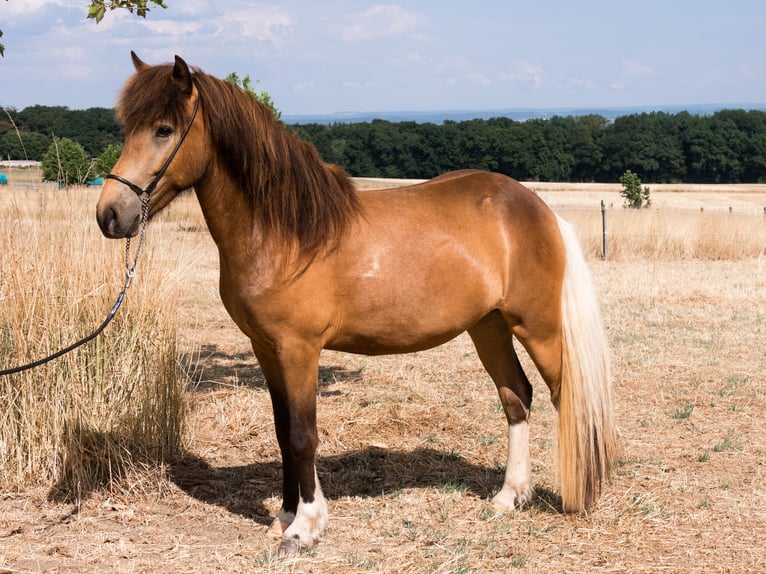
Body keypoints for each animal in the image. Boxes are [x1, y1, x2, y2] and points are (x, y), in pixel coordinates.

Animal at [96, 52, 616, 554]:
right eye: (128, 126)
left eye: (164, 129)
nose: (110, 214)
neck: (287, 233)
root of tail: (539, 209)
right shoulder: (266, 349)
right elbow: (283, 431)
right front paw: (285, 514)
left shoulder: (299, 349)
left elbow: (303, 435)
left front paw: (304, 528)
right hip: (489, 326)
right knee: (517, 397)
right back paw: (509, 496)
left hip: (537, 327)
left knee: (566, 398)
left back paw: (579, 495)